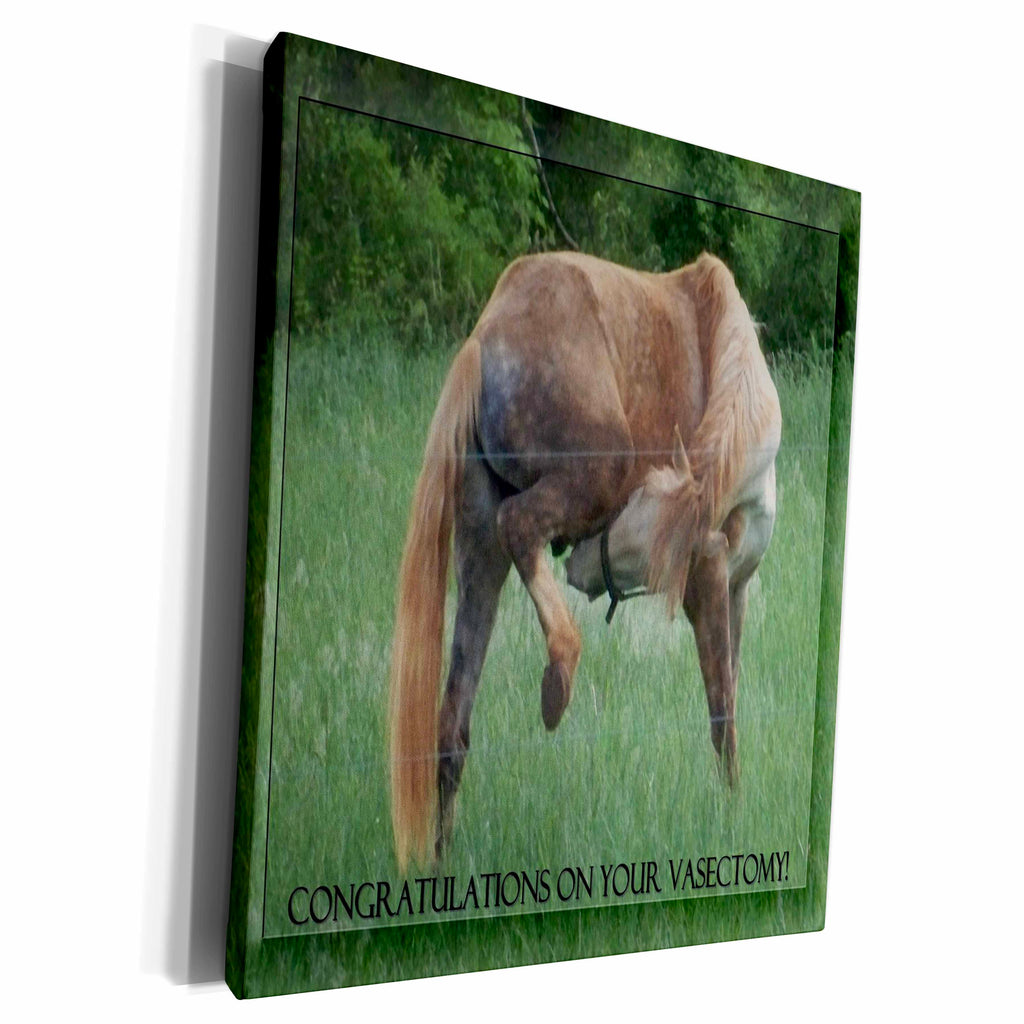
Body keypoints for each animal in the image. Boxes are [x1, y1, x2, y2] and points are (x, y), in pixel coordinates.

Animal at [388, 251, 781, 870]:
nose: (578, 568)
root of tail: (487, 336)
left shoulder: (735, 586)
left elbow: (731, 698)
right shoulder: (711, 577)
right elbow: (723, 712)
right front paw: (731, 816)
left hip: (477, 553)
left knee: (452, 726)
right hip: (593, 473)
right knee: (519, 525)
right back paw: (560, 672)